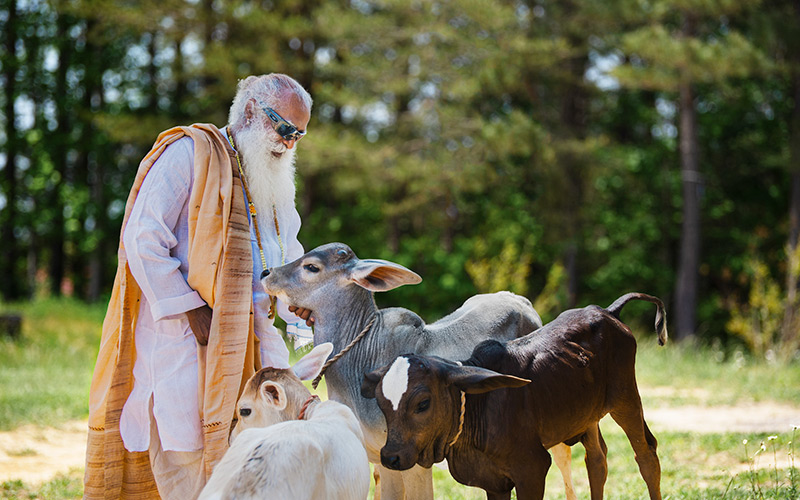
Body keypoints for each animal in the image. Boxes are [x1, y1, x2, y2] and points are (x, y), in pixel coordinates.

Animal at [362, 292, 668, 500]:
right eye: (381, 403)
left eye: (423, 403)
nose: (390, 457)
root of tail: (606, 311)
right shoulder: (494, 483)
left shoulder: (532, 468)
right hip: (587, 413)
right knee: (597, 460)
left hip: (625, 397)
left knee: (646, 454)